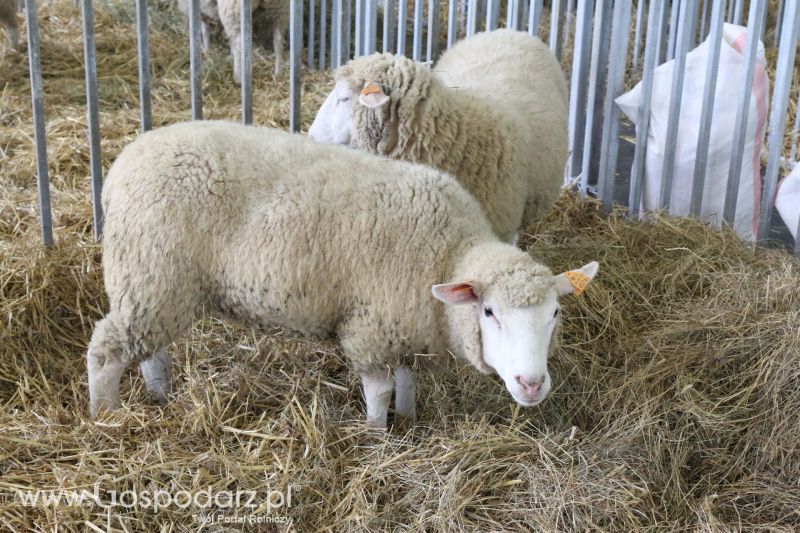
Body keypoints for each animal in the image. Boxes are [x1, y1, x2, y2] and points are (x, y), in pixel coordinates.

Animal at [89, 119, 600, 424]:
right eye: (490, 312)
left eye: (555, 315)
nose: (531, 385)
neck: (449, 253)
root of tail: (125, 161)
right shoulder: (372, 325)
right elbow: (379, 389)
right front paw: (376, 435)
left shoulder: (406, 322)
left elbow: (406, 380)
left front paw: (410, 421)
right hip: (150, 271)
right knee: (106, 350)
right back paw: (106, 417)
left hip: (157, 285)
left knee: (149, 349)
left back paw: (160, 395)